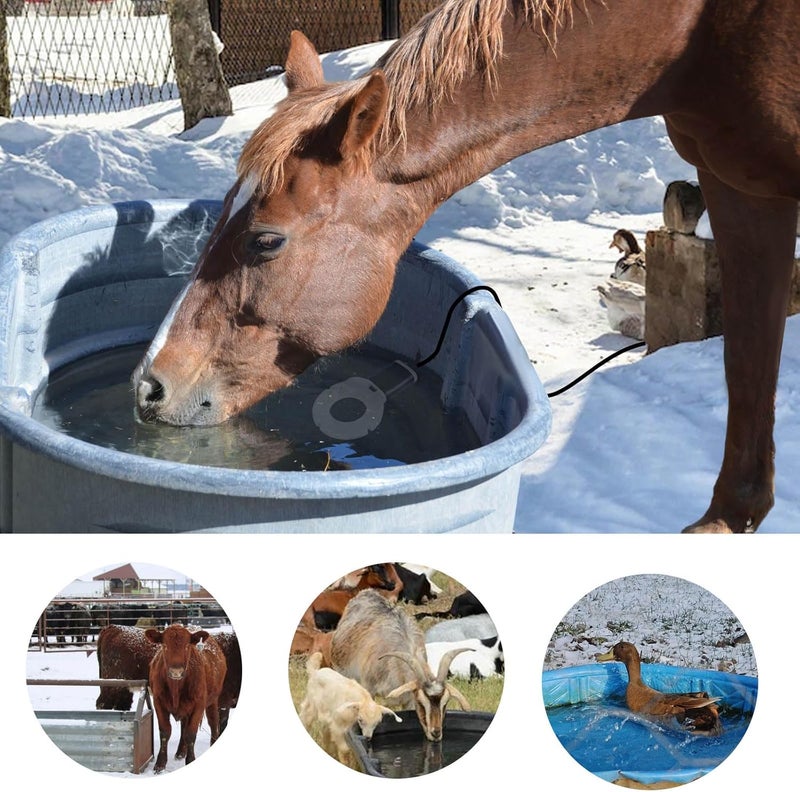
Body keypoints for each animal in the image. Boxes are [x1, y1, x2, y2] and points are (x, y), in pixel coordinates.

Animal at [132, 0, 800, 533]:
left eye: (266, 241)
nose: (149, 386)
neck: (698, 34)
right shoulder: (740, 186)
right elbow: (747, 357)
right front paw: (729, 519)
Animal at [330, 590, 471, 741]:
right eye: (421, 703)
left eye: (445, 703)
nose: (436, 733)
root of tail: (367, 592)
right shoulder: (369, 688)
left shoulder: (408, 700)